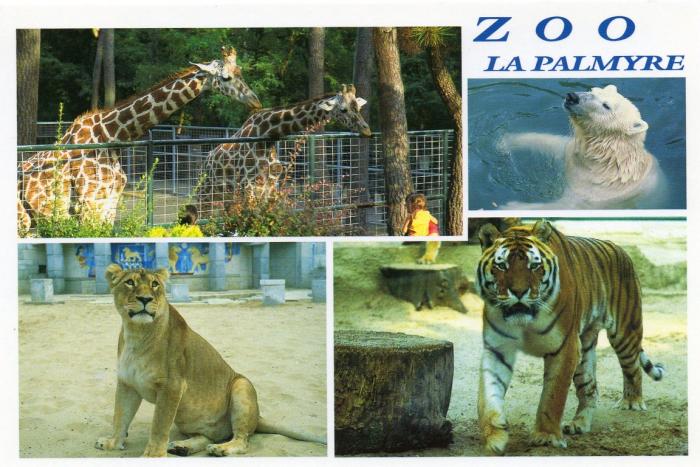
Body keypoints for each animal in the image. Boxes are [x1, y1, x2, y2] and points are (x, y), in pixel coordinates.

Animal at [474, 219, 665, 455]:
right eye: (501, 266)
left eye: (534, 266)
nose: (519, 292)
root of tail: (619, 247)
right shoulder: (497, 349)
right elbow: (487, 394)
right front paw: (495, 435)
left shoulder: (565, 347)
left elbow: (552, 396)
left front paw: (546, 437)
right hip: (585, 349)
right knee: (590, 389)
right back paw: (579, 424)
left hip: (625, 334)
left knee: (633, 370)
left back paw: (632, 402)